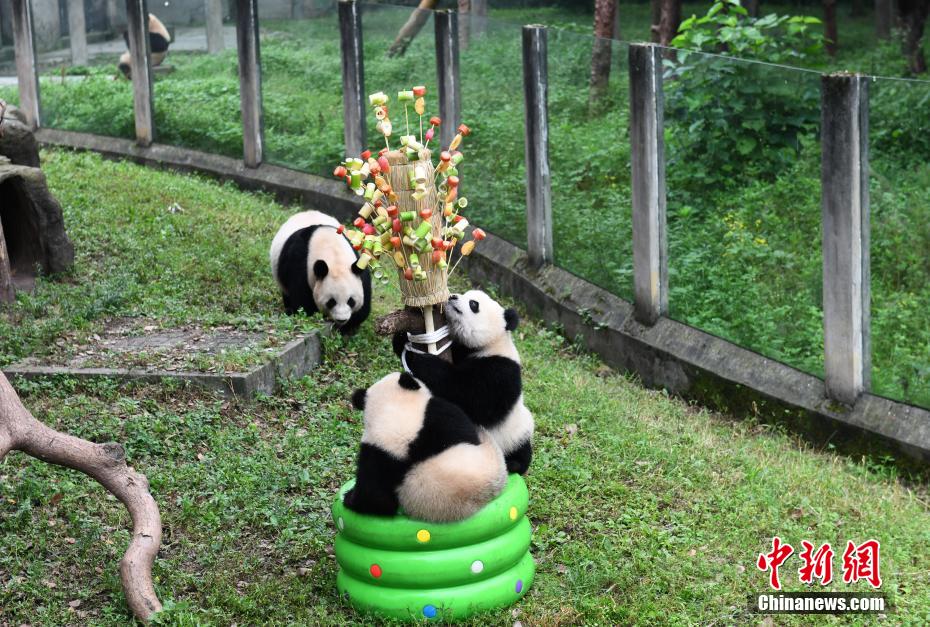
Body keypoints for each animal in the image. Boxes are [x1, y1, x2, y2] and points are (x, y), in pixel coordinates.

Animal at [344, 370, 508, 524]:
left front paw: (349, 498)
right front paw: (348, 497)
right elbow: (375, 497)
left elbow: (374, 494)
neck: (391, 413)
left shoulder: (377, 452)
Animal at [394, 290, 536, 476]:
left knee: (522, 454)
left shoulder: (501, 371)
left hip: (515, 435)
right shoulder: (461, 350)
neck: (492, 344)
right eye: (465, 293)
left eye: (473, 304)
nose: (452, 296)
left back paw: (513, 464)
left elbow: (472, 399)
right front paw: (401, 338)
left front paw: (420, 359)